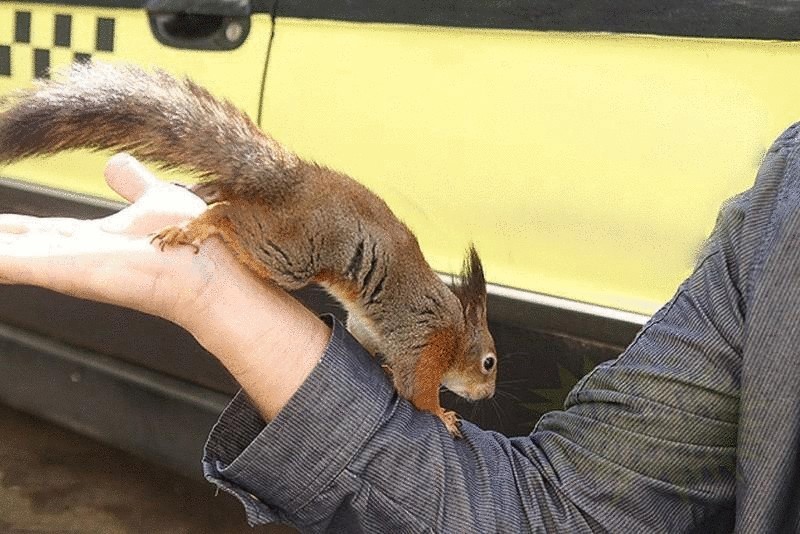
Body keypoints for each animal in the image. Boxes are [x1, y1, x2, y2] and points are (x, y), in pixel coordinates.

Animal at [0, 62, 496, 440]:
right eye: (489, 363)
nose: (489, 395)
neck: (458, 333)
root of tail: (294, 179)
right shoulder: (430, 347)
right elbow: (420, 393)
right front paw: (442, 415)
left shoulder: (373, 330)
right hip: (292, 253)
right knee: (228, 215)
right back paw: (198, 225)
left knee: (225, 194)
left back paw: (200, 193)